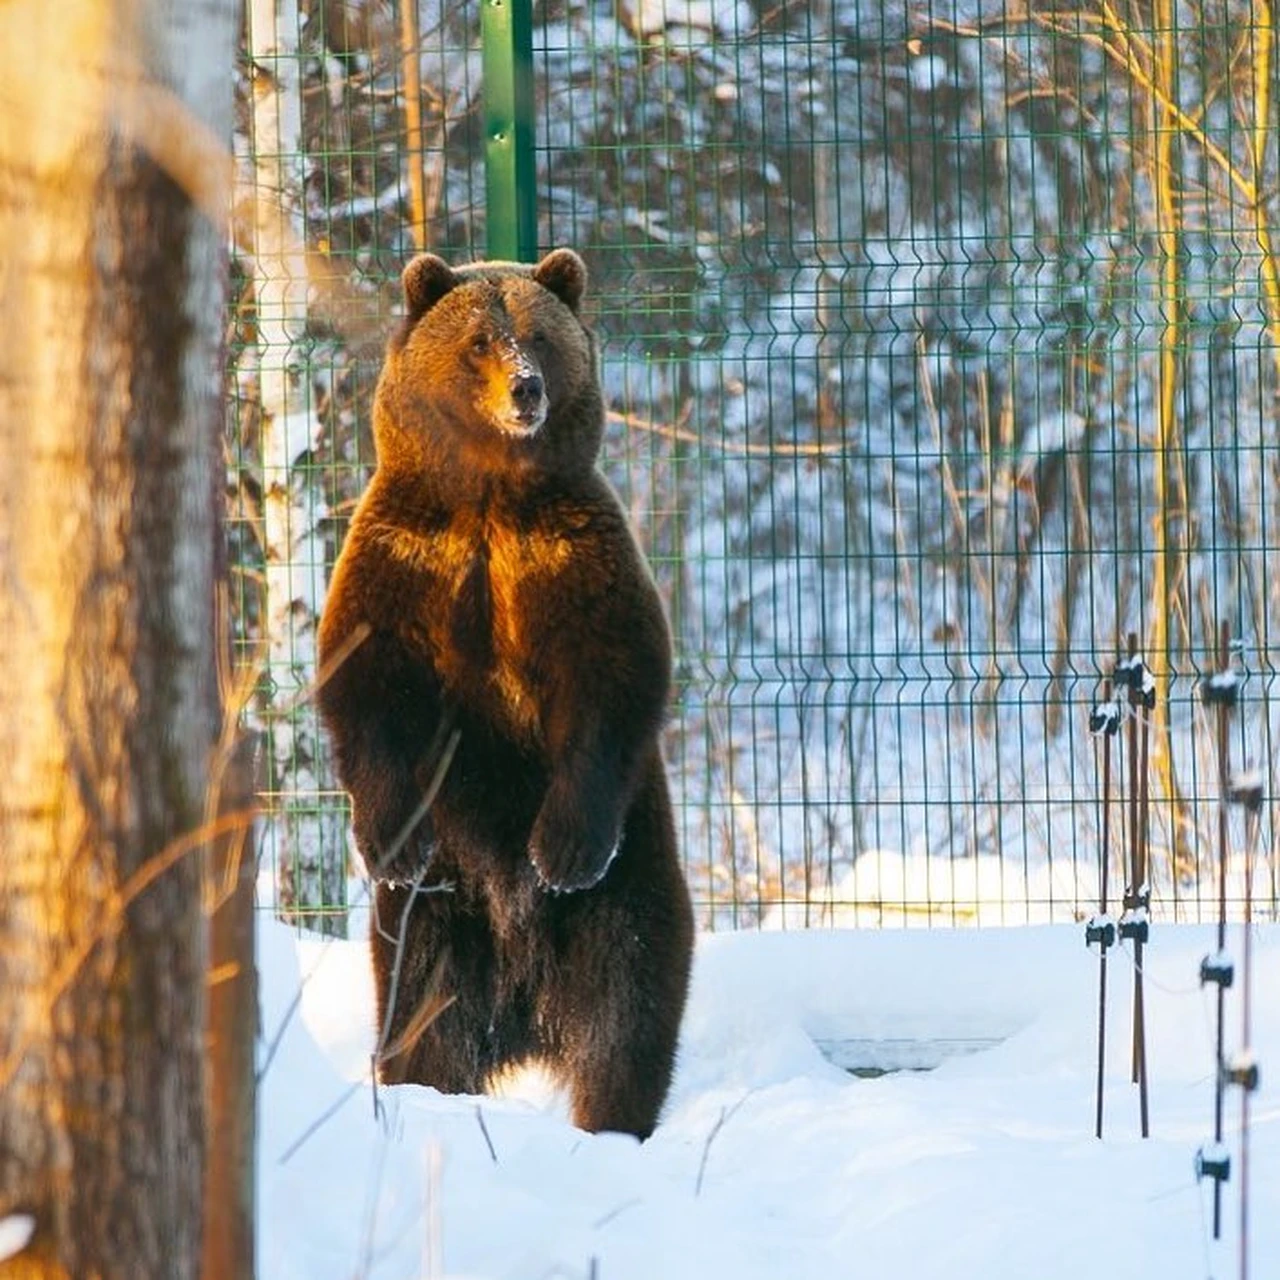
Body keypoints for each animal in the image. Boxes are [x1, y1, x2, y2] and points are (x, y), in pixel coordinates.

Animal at [316, 249, 696, 1141]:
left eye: (539, 337)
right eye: (480, 340)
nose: (525, 388)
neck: (488, 496)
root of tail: (527, 1010)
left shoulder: (570, 558)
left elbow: (612, 681)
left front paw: (560, 851)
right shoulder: (408, 559)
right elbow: (364, 686)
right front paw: (393, 838)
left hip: (632, 880)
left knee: (627, 1009)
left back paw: (611, 1121)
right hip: (437, 918)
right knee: (423, 1013)